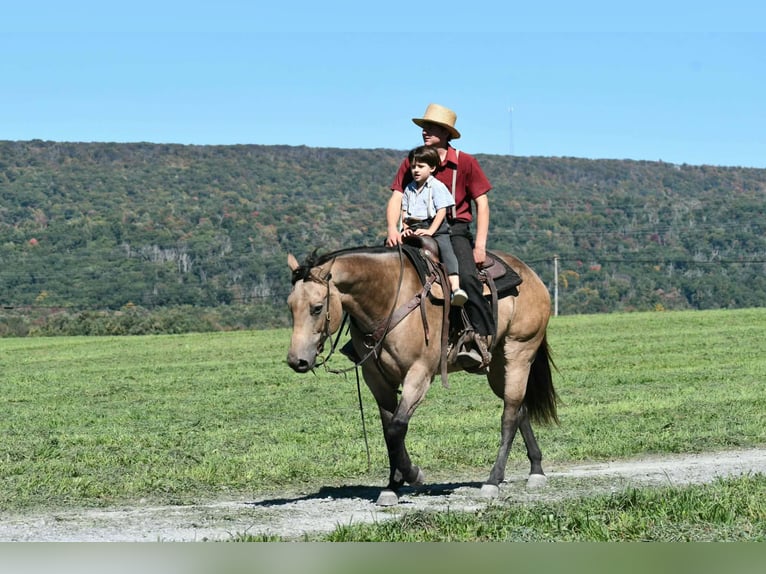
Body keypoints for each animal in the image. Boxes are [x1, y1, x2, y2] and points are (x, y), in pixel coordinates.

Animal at [286, 245, 558, 506]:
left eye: (317, 308)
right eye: (290, 306)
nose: (296, 361)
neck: (389, 300)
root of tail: (530, 275)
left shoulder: (419, 374)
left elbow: (397, 427)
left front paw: (413, 474)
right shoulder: (377, 379)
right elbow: (389, 430)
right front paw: (392, 486)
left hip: (519, 352)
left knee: (509, 416)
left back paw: (493, 480)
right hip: (499, 364)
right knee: (520, 409)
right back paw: (536, 470)